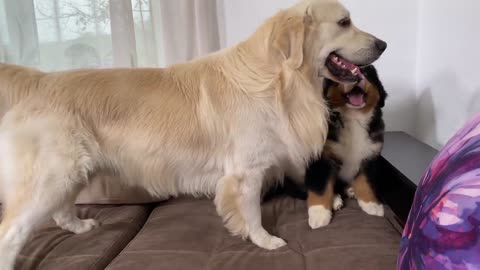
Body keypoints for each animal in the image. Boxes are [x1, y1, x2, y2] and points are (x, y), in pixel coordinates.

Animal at [284, 64, 388, 229]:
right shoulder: (321, 159)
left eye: (366, 72)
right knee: (304, 190)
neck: (354, 117)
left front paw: (371, 204)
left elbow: (366, 182)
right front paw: (319, 213)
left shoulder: (370, 156)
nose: (357, 76)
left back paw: (350, 190)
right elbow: (319, 187)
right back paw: (335, 200)